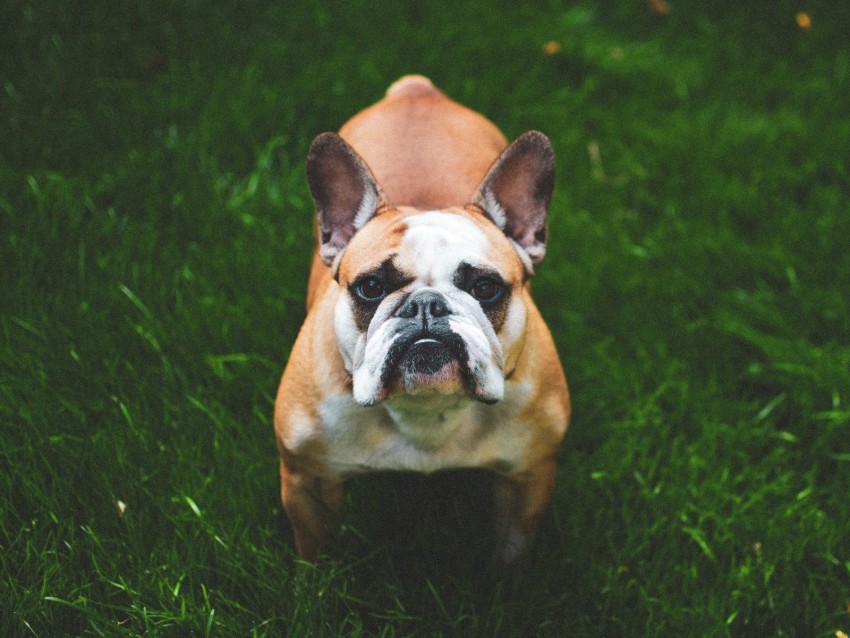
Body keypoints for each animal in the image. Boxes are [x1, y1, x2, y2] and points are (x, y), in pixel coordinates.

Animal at [274, 75, 568, 564]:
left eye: (485, 288)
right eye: (371, 287)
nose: (426, 305)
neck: (427, 410)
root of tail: (417, 88)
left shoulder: (528, 478)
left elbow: (510, 554)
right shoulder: (308, 482)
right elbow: (317, 554)